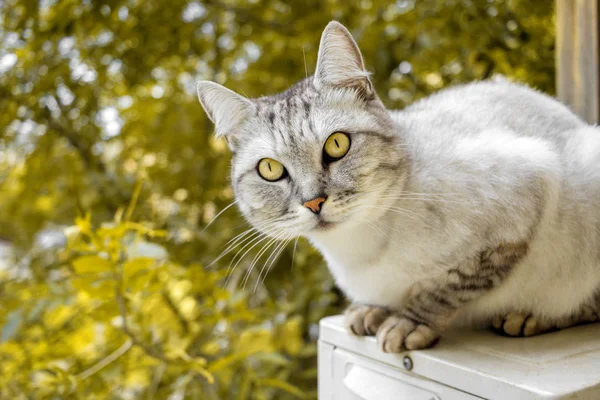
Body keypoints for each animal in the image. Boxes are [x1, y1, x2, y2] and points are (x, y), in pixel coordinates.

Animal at [197, 21, 600, 354]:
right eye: (270, 169)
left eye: (337, 145)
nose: (314, 202)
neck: (357, 250)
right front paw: (372, 311)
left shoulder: (520, 205)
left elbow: (448, 287)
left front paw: (408, 323)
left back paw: (532, 317)